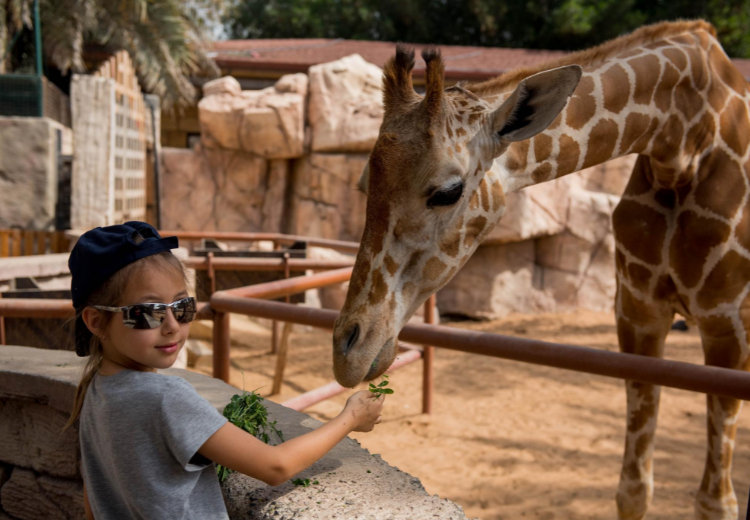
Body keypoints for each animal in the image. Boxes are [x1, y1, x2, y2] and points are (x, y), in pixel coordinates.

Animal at [334, 20, 750, 520]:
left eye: (448, 191)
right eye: (364, 184)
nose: (347, 355)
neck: (682, 139)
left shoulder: (728, 325)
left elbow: (716, 502)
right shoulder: (638, 315)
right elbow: (633, 489)